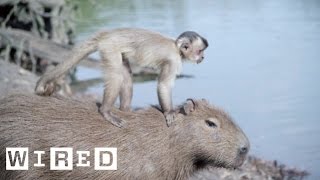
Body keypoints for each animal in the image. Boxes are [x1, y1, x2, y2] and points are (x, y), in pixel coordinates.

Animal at [35, 27, 209, 128]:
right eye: (200, 51)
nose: (202, 58)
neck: (176, 47)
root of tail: (109, 34)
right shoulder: (173, 60)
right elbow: (164, 85)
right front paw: (169, 112)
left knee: (126, 75)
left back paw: (125, 110)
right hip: (109, 48)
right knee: (117, 76)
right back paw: (105, 111)